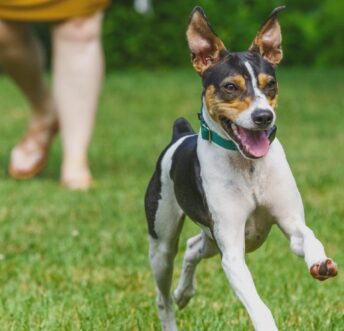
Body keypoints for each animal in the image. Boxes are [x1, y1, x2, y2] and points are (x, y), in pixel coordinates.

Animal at [144, 5, 338, 331]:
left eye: (270, 84)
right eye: (230, 87)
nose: (263, 116)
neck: (248, 167)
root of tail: (180, 134)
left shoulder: (290, 224)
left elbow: (308, 237)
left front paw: (320, 262)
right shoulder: (232, 253)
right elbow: (258, 307)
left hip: (210, 238)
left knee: (194, 247)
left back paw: (185, 293)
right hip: (162, 242)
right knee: (163, 294)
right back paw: (173, 306)